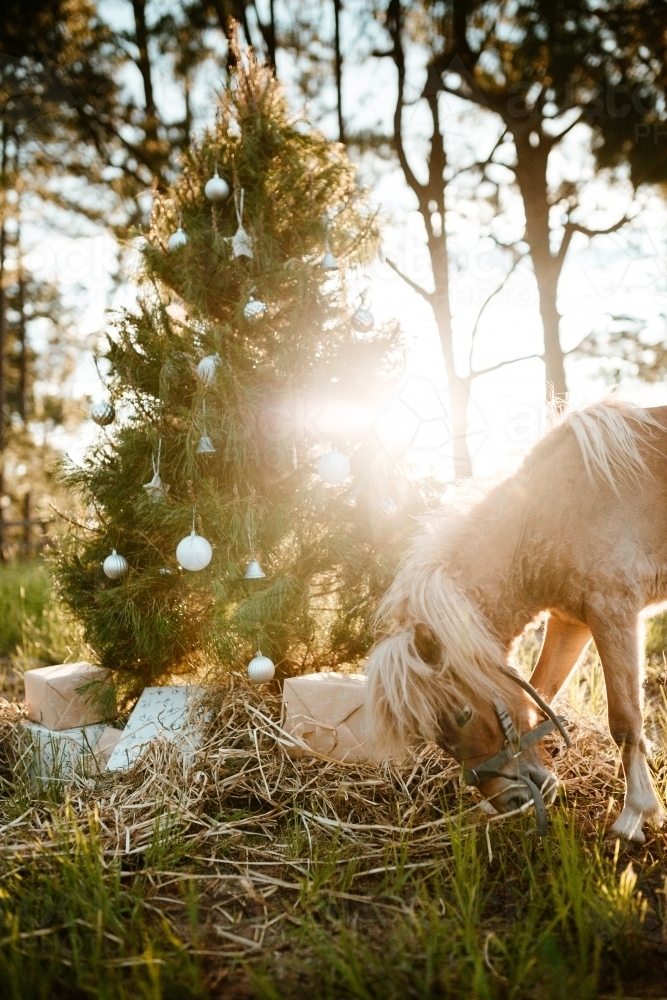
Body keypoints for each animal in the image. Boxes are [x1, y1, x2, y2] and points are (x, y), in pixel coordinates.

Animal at [368, 398, 667, 844]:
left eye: (462, 715)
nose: (510, 800)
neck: (551, 512)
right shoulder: (571, 622)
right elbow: (539, 697)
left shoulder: (613, 611)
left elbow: (626, 721)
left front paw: (635, 815)